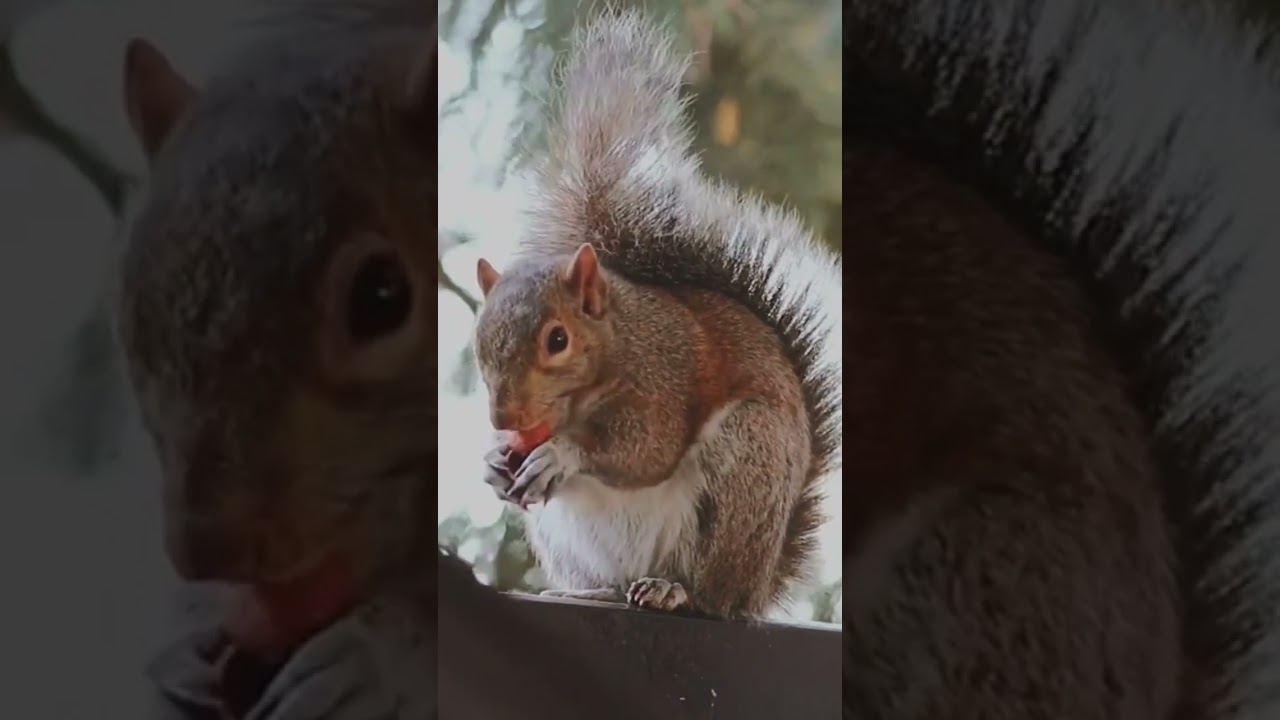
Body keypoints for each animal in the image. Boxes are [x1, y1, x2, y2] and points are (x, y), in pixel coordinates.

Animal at [470, 13, 842, 622]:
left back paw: (678, 592)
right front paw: (493, 462)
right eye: (479, 344)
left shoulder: (665, 379)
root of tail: (758, 586)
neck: (619, 341)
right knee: (614, 582)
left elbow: (646, 451)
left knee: (709, 596)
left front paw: (563, 454)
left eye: (557, 340)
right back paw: (592, 590)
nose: (504, 418)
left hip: (744, 463)